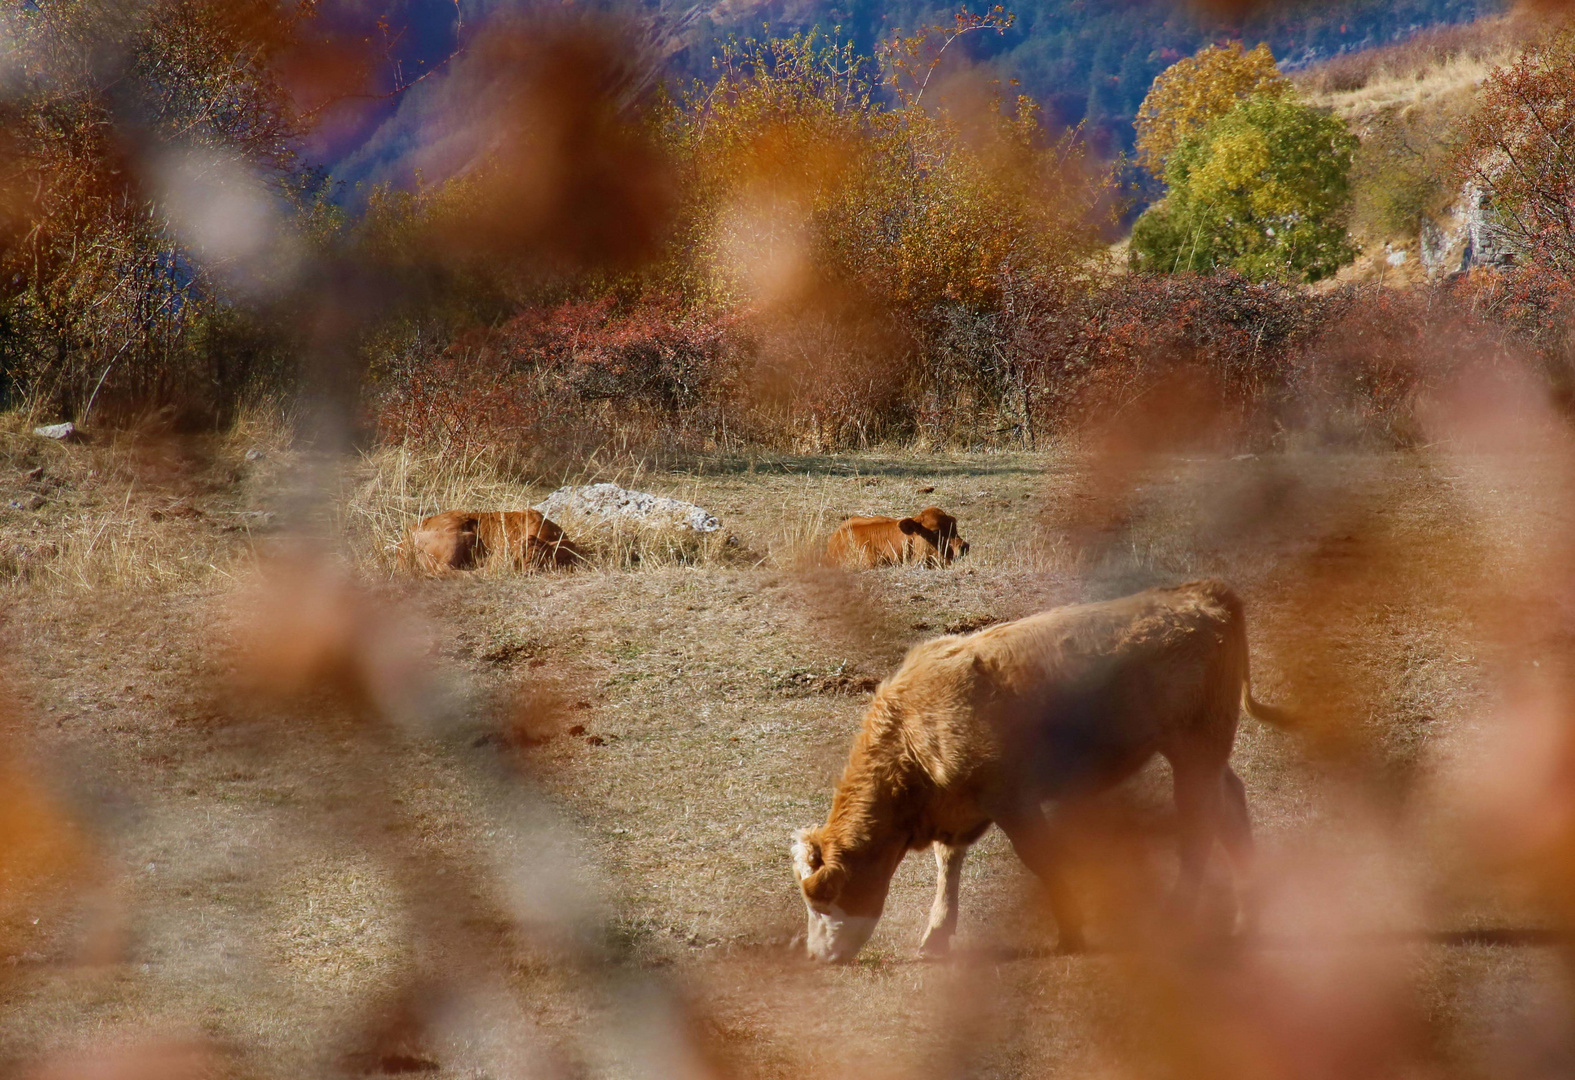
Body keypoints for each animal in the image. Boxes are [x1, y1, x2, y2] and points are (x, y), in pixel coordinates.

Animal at [787, 582, 1291, 963]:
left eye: (822, 895)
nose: (815, 955)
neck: (913, 727)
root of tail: (1202, 591)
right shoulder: (959, 812)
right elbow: (948, 868)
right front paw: (936, 938)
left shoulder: (1013, 802)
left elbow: (1043, 860)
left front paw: (1072, 932)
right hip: (1202, 753)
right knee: (1230, 805)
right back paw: (1247, 915)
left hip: (1195, 749)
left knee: (1200, 824)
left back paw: (1176, 917)